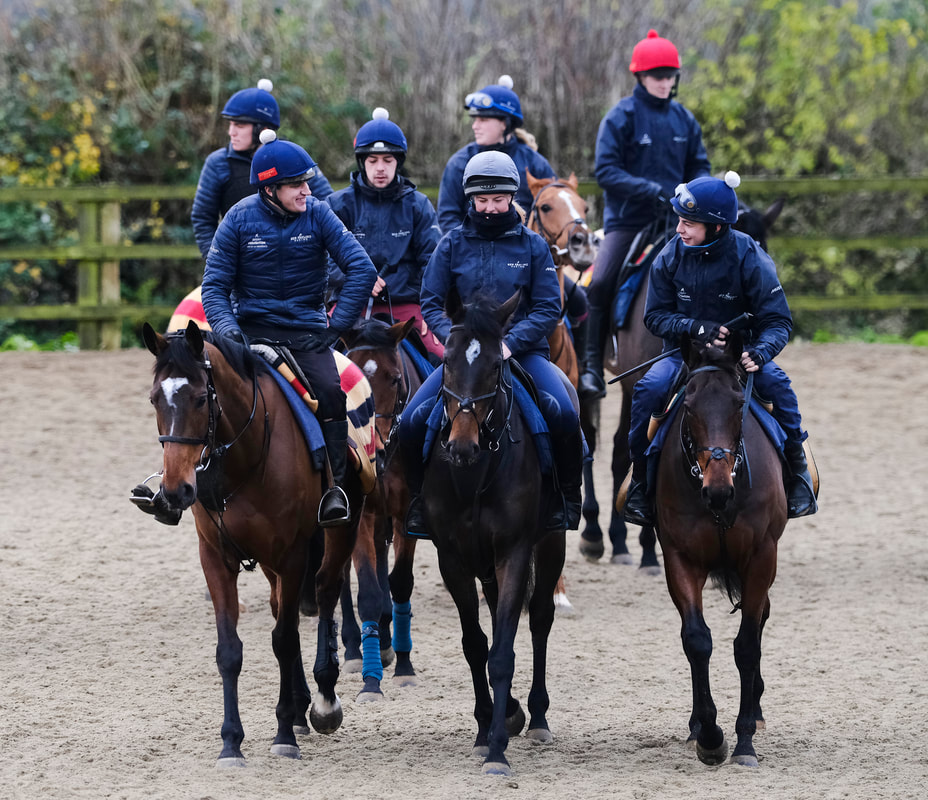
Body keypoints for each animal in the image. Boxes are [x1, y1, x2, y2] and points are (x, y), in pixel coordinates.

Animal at [141, 322, 362, 764]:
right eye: (155, 399)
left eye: (200, 398)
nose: (174, 492)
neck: (242, 460)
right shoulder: (214, 558)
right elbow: (230, 650)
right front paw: (231, 742)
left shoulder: (292, 556)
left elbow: (284, 640)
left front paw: (284, 735)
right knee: (284, 609)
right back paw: (300, 705)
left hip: (333, 539)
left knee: (325, 593)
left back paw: (323, 702)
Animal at [422, 288, 564, 776]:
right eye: (446, 360)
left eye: (495, 366)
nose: (461, 446)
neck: (474, 475)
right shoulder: (452, 558)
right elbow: (475, 644)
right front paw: (487, 729)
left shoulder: (515, 551)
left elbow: (501, 652)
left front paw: (499, 748)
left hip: (551, 543)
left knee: (539, 618)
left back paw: (536, 715)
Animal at [656, 332, 788, 768]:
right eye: (688, 405)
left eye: (737, 404)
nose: (717, 490)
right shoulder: (680, 557)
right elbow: (697, 640)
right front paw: (710, 735)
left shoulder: (762, 557)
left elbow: (747, 644)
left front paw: (745, 739)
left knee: (760, 617)